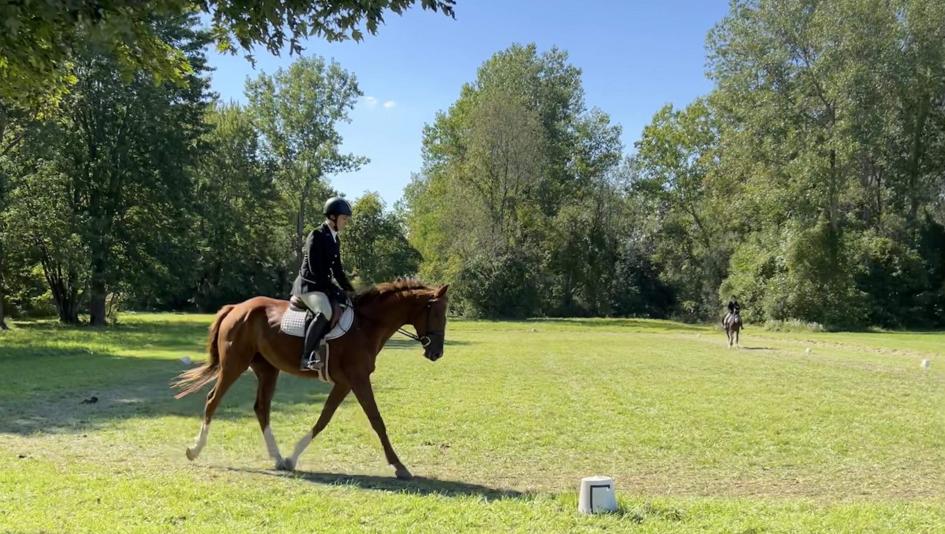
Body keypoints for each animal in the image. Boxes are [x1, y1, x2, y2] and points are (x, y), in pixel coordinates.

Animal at [171, 280, 448, 482]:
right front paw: (399, 467)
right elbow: (376, 420)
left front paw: (292, 458)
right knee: (212, 401)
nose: (436, 353)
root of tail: (236, 307)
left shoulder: (345, 383)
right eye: (438, 314)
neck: (367, 325)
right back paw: (195, 450)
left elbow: (324, 418)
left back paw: (278, 458)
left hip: (267, 370)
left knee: (261, 408)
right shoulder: (358, 379)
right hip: (234, 364)